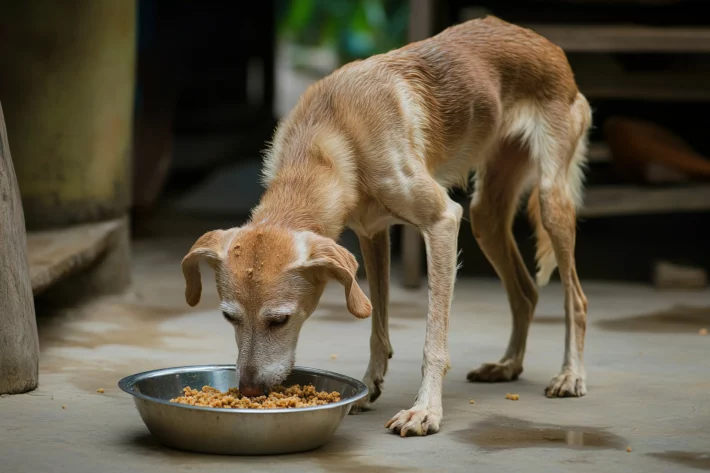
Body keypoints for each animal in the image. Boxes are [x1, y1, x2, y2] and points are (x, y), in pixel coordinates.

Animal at [182, 14, 588, 436]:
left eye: (280, 320)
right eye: (229, 317)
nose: (247, 391)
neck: (332, 132)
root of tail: (544, 43)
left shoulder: (443, 221)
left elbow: (433, 339)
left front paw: (425, 410)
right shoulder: (372, 234)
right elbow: (377, 325)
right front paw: (370, 383)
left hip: (549, 202)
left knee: (576, 299)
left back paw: (571, 375)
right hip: (486, 216)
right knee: (525, 294)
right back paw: (508, 365)